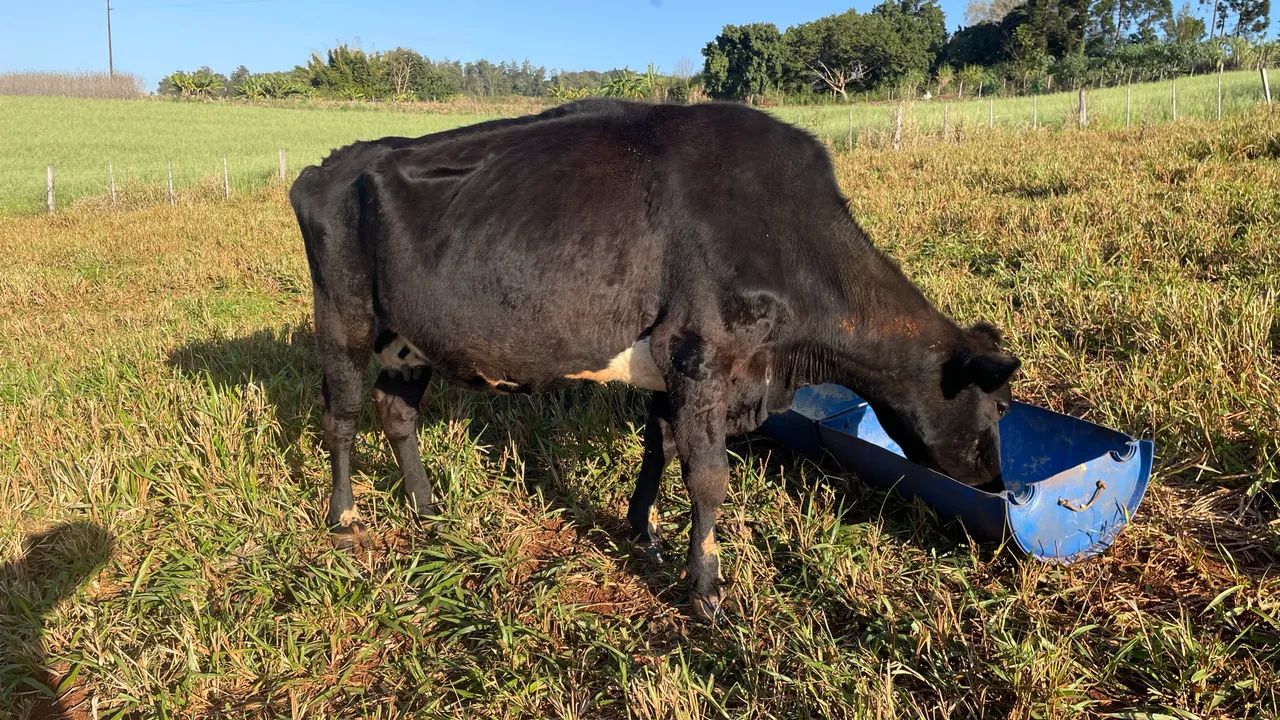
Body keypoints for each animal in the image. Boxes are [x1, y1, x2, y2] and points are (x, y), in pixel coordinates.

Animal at [290, 99, 1020, 621]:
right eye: (996, 409)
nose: (995, 483)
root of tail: (330, 164)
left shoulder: (673, 367)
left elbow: (659, 449)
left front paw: (643, 533)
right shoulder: (702, 357)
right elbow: (709, 477)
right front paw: (706, 591)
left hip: (409, 337)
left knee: (396, 411)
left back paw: (427, 507)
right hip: (343, 317)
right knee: (343, 415)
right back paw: (345, 521)